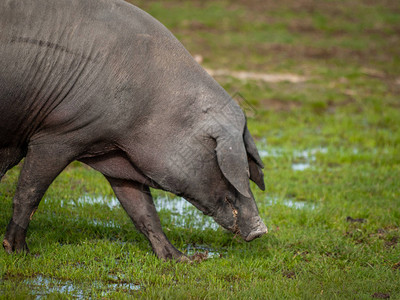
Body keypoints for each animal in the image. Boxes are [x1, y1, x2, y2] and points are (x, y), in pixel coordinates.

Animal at [0, 0, 268, 260]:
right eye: (227, 164)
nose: (261, 229)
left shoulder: (116, 154)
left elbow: (144, 212)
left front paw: (182, 259)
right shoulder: (56, 136)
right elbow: (28, 193)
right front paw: (21, 252)